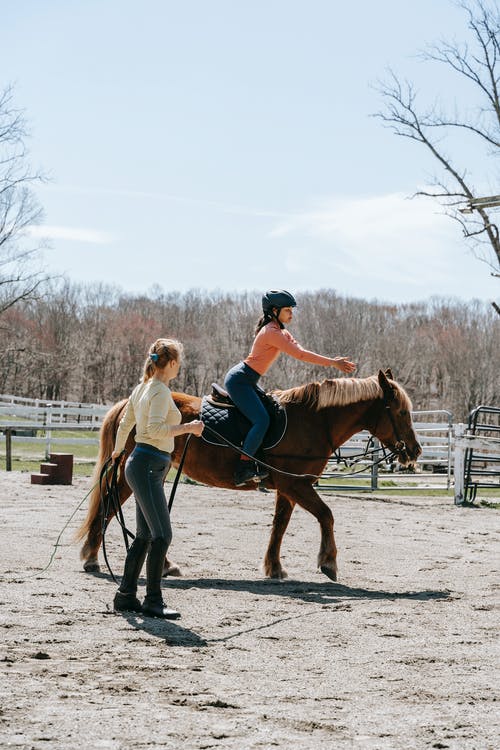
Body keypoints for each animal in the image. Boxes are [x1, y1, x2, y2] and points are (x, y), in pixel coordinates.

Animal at [77, 370, 422, 580]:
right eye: (401, 411)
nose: (415, 450)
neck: (312, 421)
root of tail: (130, 402)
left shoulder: (288, 488)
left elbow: (279, 527)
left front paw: (274, 567)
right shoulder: (296, 484)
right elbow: (326, 515)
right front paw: (328, 562)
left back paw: (163, 564)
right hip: (129, 474)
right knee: (108, 505)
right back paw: (92, 557)